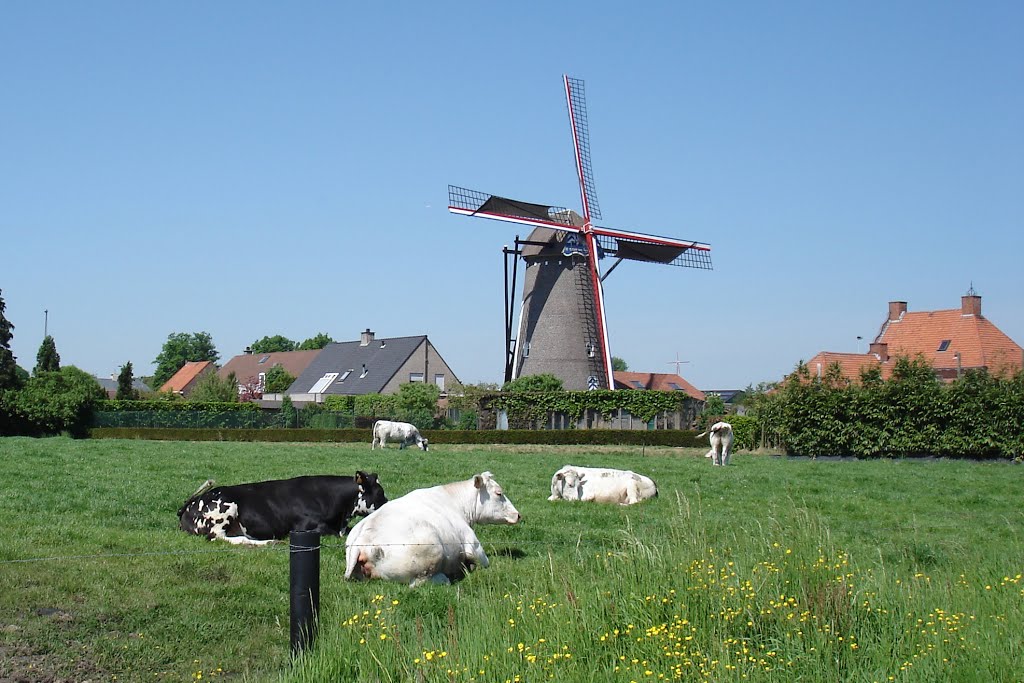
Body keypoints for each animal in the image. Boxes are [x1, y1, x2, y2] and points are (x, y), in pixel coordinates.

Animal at [178, 473, 385, 548]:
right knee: (224, 538)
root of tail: (189, 505)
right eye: (380, 493)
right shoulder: (304, 527)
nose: (388, 503)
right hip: (224, 512)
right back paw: (269, 542)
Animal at [344, 471, 520, 589]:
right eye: (499, 493)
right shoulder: (473, 545)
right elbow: (484, 562)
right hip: (430, 556)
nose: (518, 514)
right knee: (419, 583)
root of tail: (362, 539)